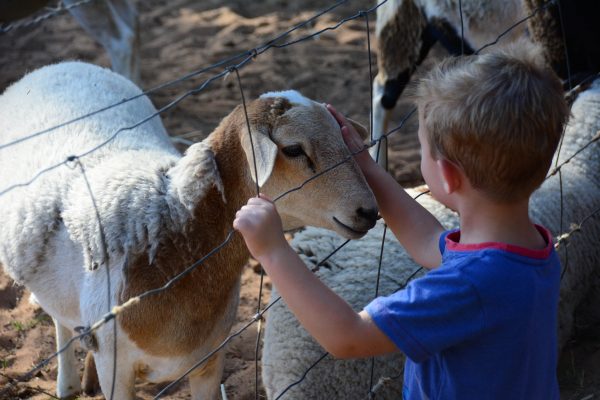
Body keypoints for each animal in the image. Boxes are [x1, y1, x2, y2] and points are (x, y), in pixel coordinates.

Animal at [0, 61, 378, 398]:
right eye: (294, 149)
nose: (369, 211)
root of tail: (60, 65)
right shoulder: (115, 366)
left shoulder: (211, 360)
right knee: (58, 322)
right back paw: (66, 385)